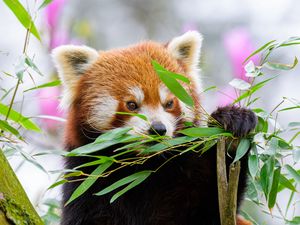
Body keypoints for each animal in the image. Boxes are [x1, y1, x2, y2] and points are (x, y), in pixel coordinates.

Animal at [51, 31, 255, 225]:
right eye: (131, 105)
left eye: (169, 103)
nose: (158, 129)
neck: (145, 167)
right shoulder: (86, 178)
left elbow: (215, 208)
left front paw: (233, 125)